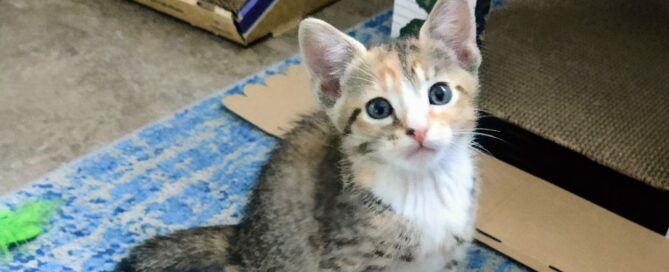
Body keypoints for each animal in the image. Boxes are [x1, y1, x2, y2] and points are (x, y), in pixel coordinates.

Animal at [115, 1, 480, 270]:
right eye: (378, 109)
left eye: (439, 94)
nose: (419, 130)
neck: (424, 186)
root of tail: (242, 239)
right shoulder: (344, 261)